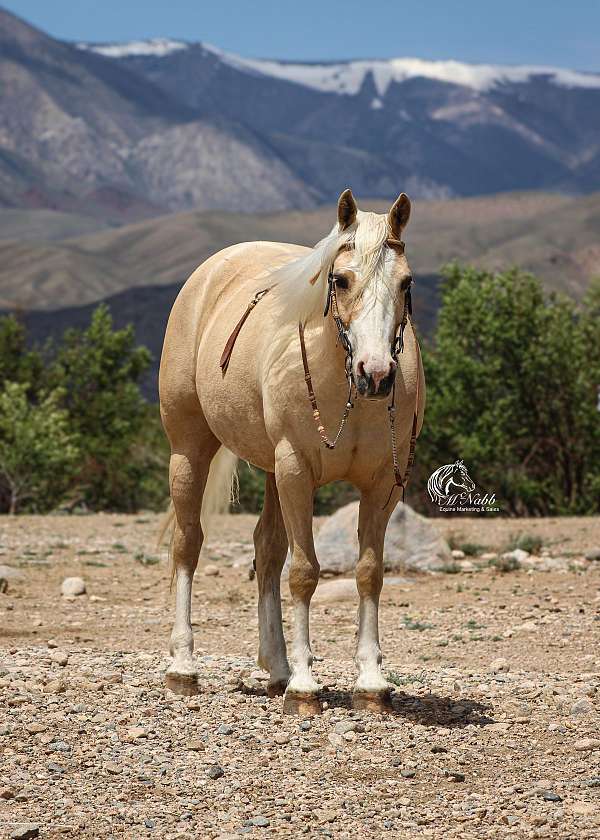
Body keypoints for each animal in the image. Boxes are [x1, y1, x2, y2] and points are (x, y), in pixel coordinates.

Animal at [159, 189, 425, 715]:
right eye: (340, 279)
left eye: (406, 283)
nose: (376, 374)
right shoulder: (297, 471)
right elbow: (304, 572)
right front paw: (305, 685)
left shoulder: (383, 484)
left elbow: (369, 573)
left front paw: (371, 682)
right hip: (190, 451)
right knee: (188, 545)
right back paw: (184, 667)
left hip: (269, 470)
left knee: (266, 550)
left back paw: (275, 669)